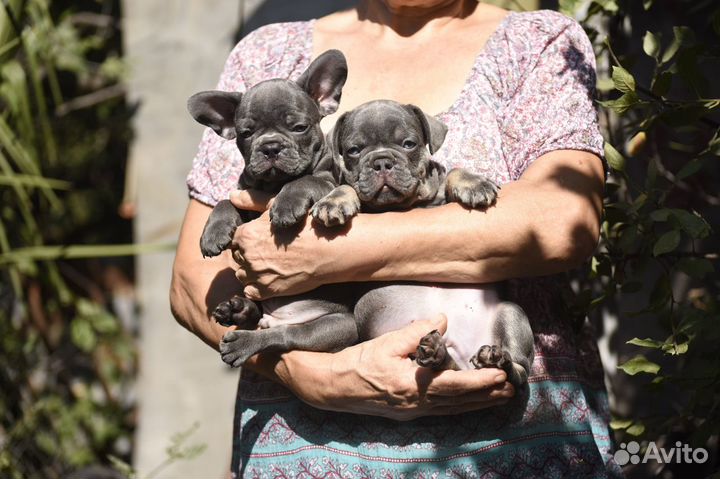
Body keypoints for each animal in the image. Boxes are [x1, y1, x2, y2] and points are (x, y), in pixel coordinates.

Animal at [312, 101, 536, 390]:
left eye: (408, 144)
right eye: (353, 150)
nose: (381, 161)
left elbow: (453, 171)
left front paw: (473, 183)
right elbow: (347, 187)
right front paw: (334, 201)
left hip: (511, 312)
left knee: (519, 371)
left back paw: (495, 359)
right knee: (452, 367)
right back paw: (438, 353)